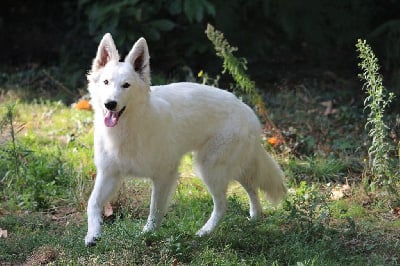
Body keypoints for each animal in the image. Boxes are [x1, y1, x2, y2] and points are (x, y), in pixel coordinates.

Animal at [84, 33, 286, 247]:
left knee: (223, 204)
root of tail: (249, 113)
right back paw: (255, 217)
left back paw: (204, 232)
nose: (110, 104)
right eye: (106, 82)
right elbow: (93, 203)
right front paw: (92, 234)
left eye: (126, 85)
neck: (129, 127)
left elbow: (155, 209)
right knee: (252, 187)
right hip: (230, 168)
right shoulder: (109, 174)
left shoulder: (164, 175)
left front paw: (147, 234)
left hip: (208, 168)